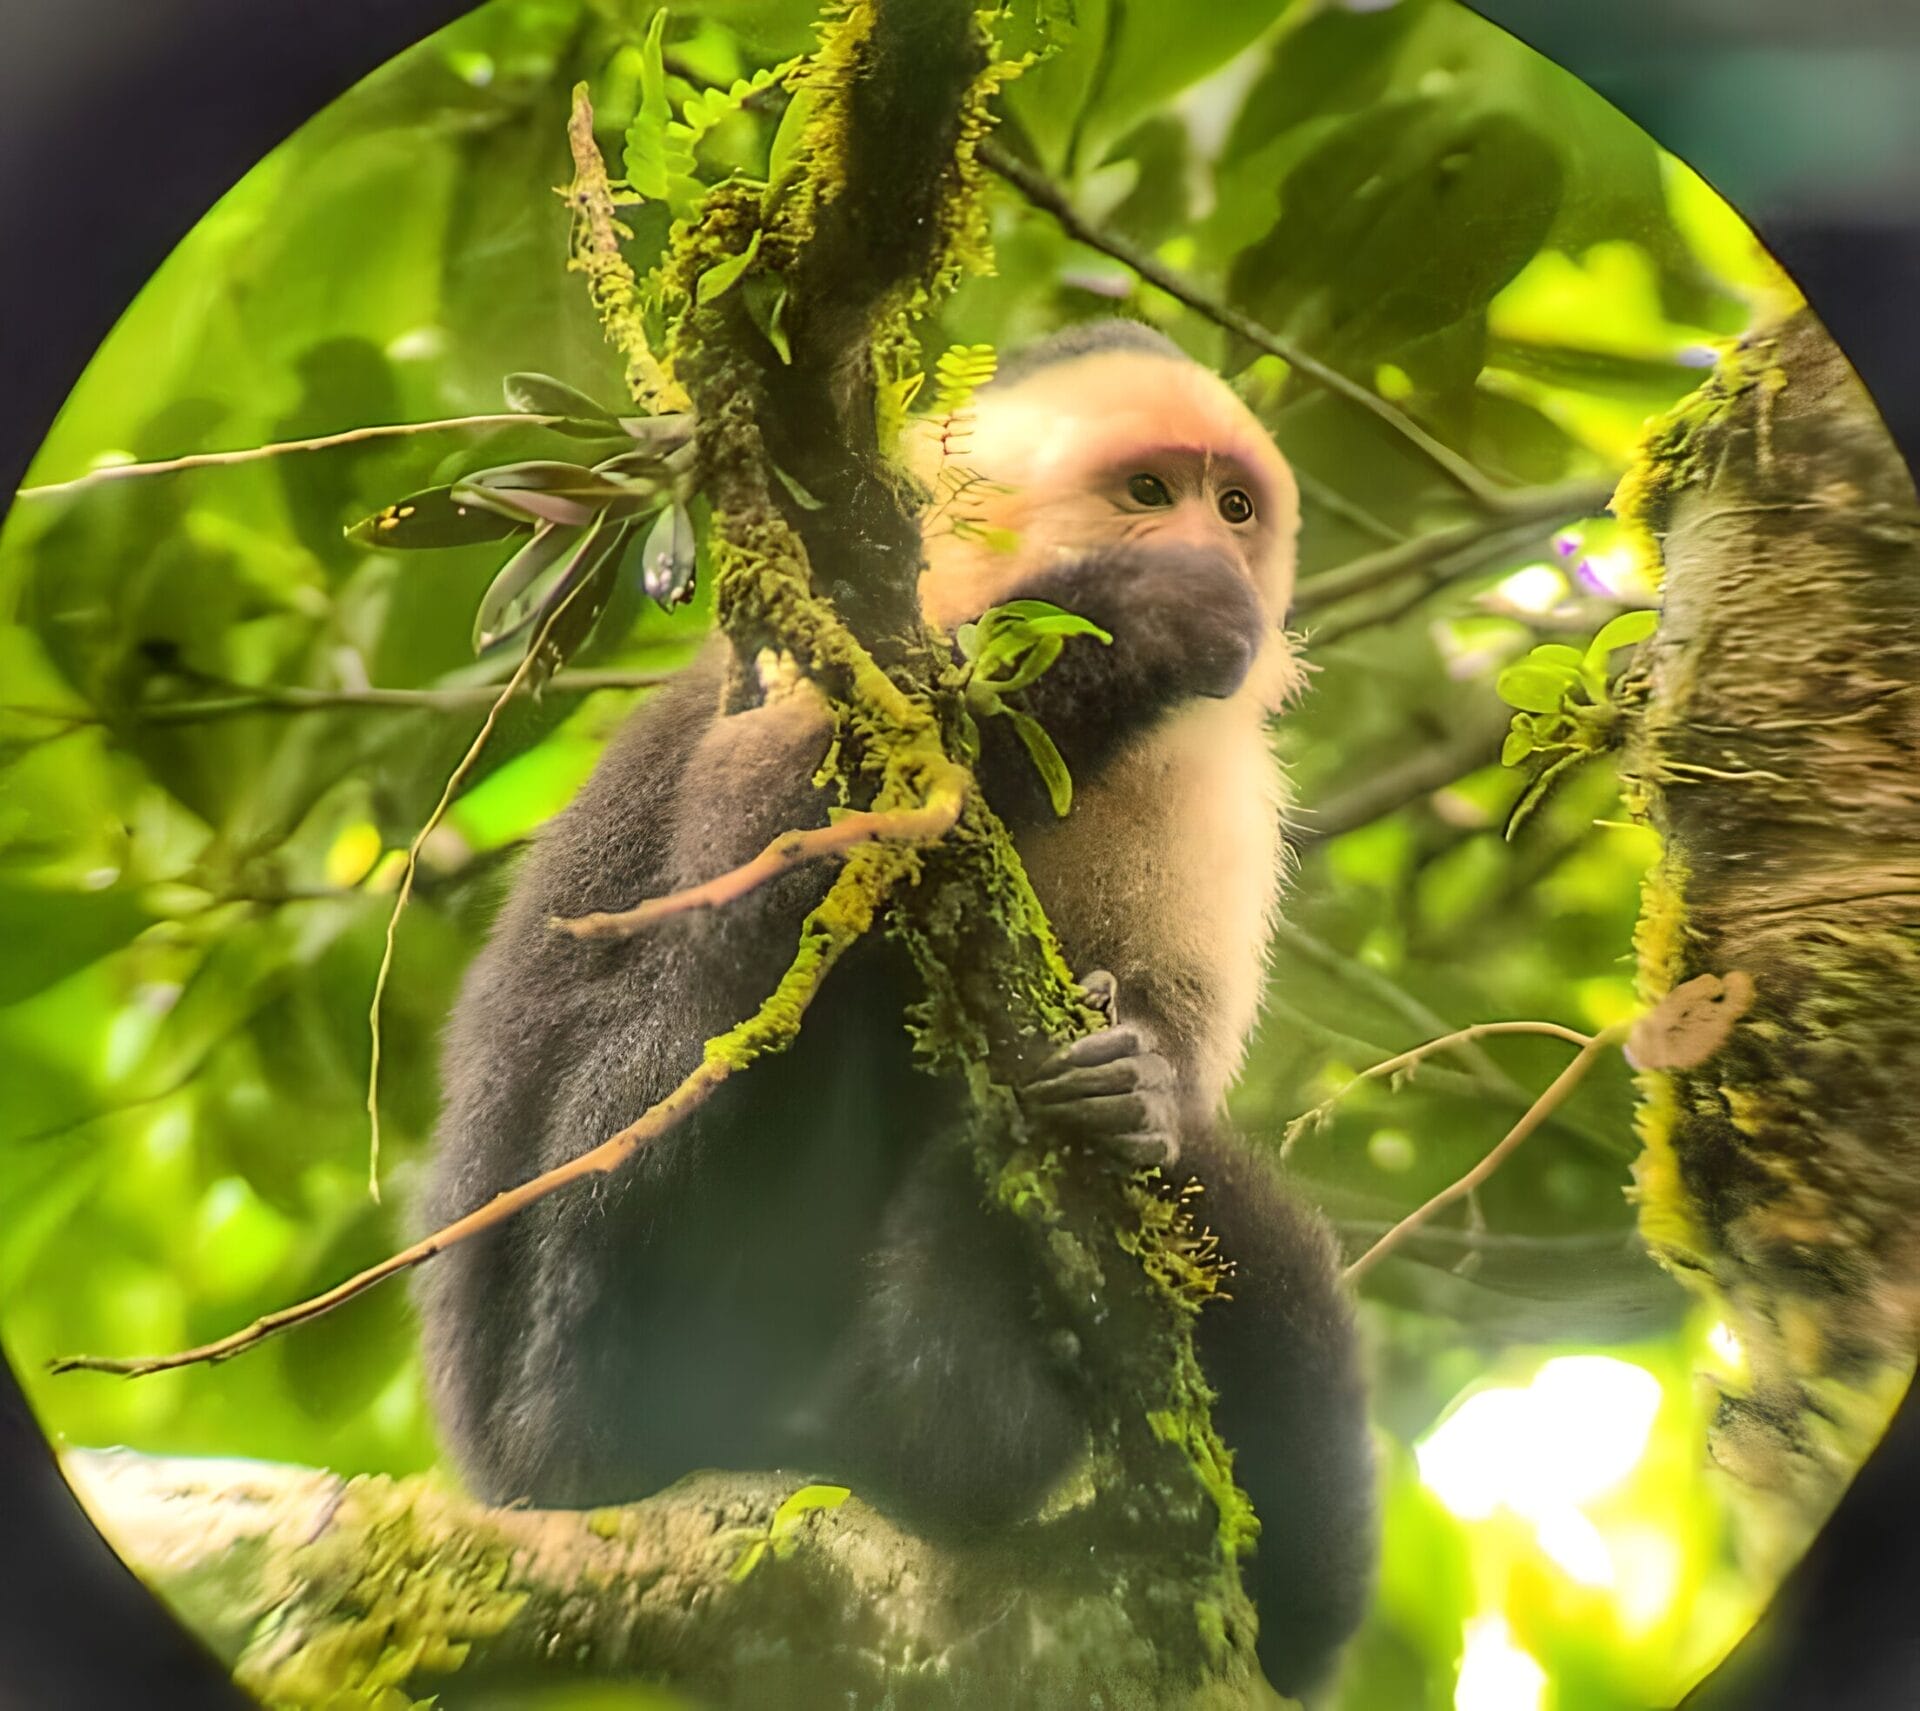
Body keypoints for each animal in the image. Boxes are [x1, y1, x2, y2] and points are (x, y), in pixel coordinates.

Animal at [416, 319, 1376, 1698]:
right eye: (1149, 493)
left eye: (1234, 505)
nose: (1211, 546)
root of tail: (496, 1465)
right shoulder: (835, 645)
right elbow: (753, 888)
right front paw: (1132, 618)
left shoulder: (1219, 782)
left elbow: (1177, 1064)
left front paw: (1137, 1078)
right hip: (562, 1385)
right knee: (722, 1041)